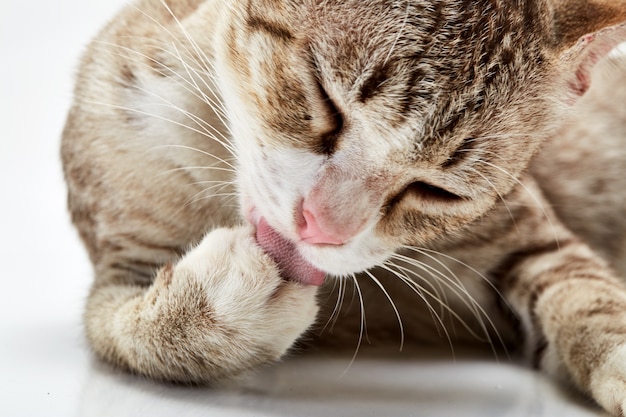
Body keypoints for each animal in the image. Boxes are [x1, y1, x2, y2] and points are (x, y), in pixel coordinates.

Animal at [61, 0, 624, 412]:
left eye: (439, 191)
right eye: (324, 99)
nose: (321, 227)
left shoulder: (528, 234)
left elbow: (589, 296)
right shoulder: (120, 248)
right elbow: (125, 334)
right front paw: (220, 305)